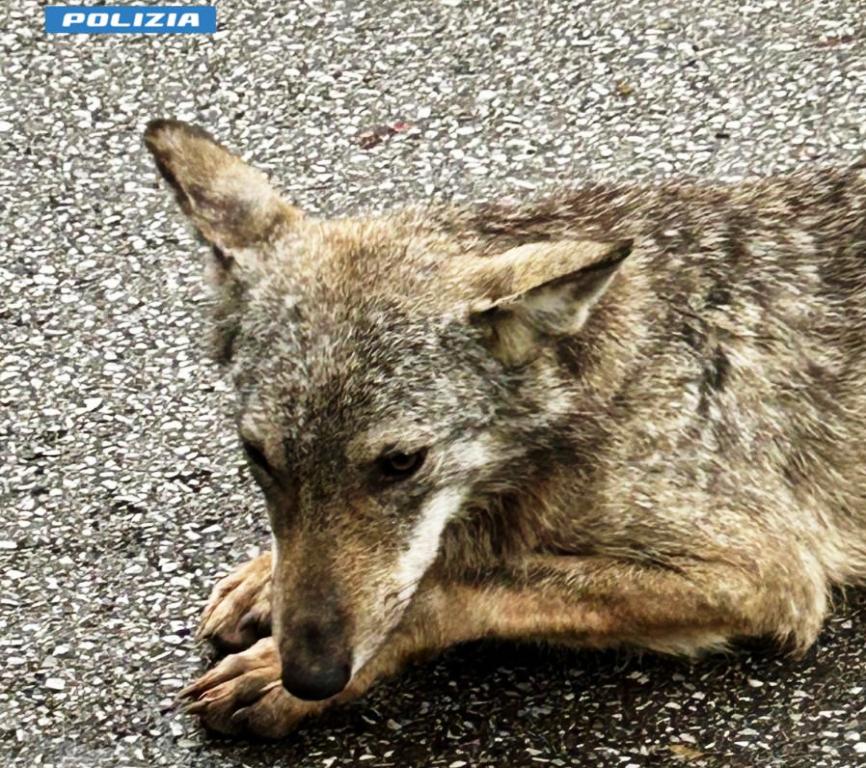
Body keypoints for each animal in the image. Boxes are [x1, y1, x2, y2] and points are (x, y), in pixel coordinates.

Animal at [144, 119, 866, 738]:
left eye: (402, 462)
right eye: (259, 456)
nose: (309, 675)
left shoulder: (764, 576)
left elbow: (454, 589)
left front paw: (284, 673)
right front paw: (265, 578)